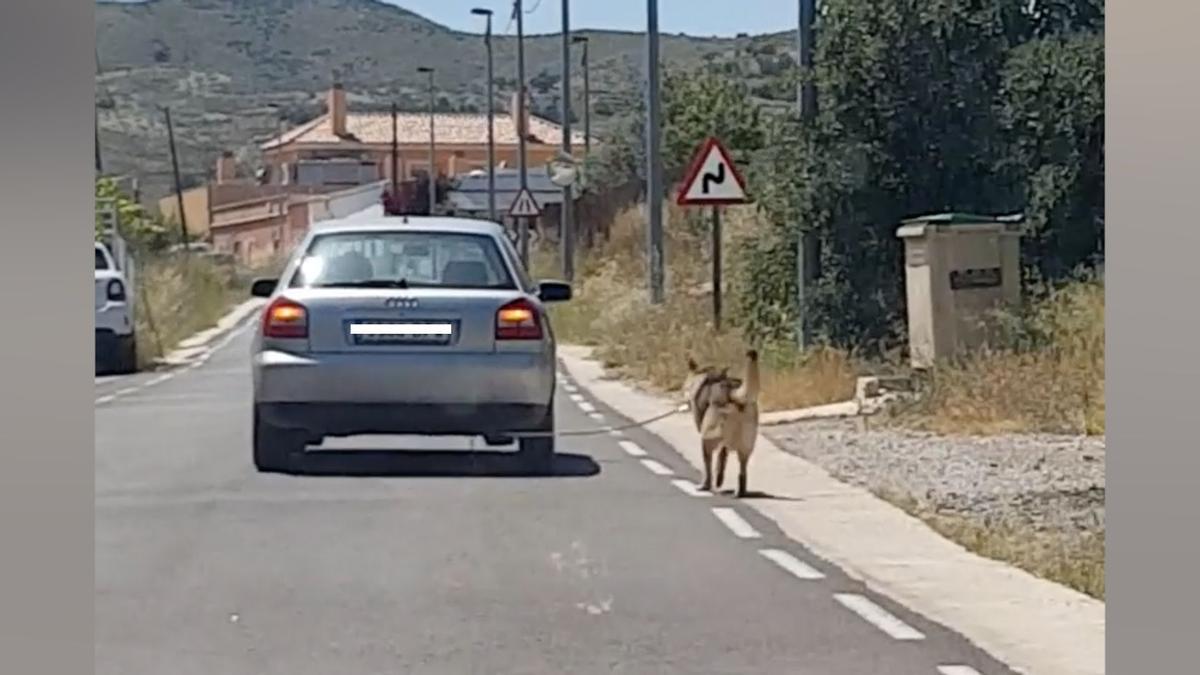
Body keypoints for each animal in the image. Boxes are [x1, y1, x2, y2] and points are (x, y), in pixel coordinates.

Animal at [686, 348, 758, 497]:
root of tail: (732, 391)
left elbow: (715, 459)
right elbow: (723, 456)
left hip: (708, 438)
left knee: (711, 460)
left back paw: (708, 484)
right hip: (747, 444)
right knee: (742, 467)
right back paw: (739, 490)